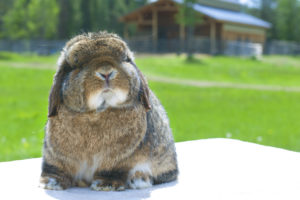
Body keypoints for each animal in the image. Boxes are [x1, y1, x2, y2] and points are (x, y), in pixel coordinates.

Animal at [38, 31, 177, 191]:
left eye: (124, 59)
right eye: (77, 65)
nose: (106, 72)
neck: (97, 112)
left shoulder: (119, 162)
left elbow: (113, 171)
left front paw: (106, 185)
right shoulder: (56, 157)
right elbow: (56, 169)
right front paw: (50, 183)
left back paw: (139, 179)